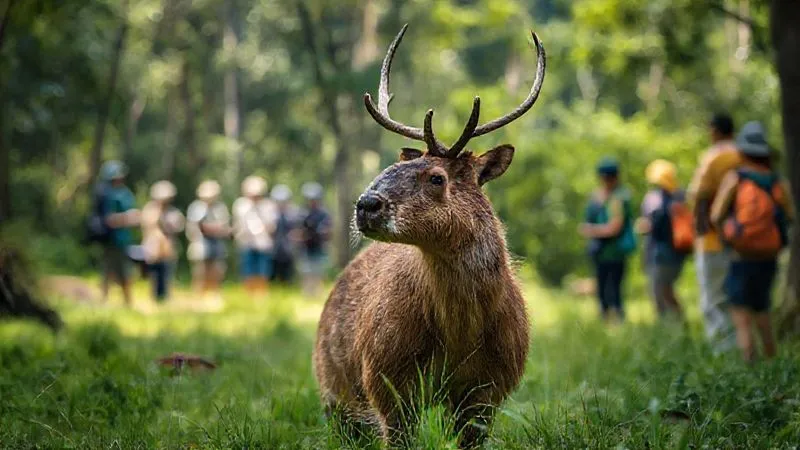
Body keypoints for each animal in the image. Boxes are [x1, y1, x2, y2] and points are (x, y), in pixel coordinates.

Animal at [313, 24, 545, 448]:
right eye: (391, 167)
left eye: (436, 177)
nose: (366, 205)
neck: (460, 338)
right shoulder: (386, 379)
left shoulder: (491, 388)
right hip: (333, 388)